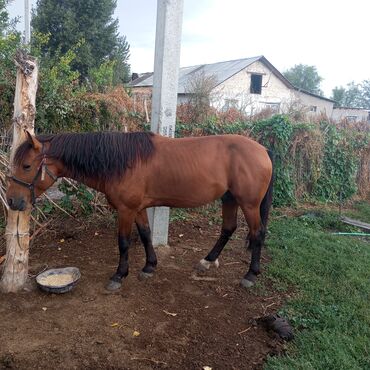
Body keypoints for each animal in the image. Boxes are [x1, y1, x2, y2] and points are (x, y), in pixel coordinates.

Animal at [5, 132, 272, 290]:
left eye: (26, 166)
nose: (12, 201)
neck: (121, 161)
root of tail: (263, 150)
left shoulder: (126, 210)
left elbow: (123, 242)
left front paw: (119, 275)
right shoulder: (139, 209)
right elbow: (145, 235)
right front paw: (149, 267)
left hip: (249, 204)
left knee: (257, 233)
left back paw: (251, 274)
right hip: (229, 198)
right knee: (228, 228)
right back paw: (207, 261)